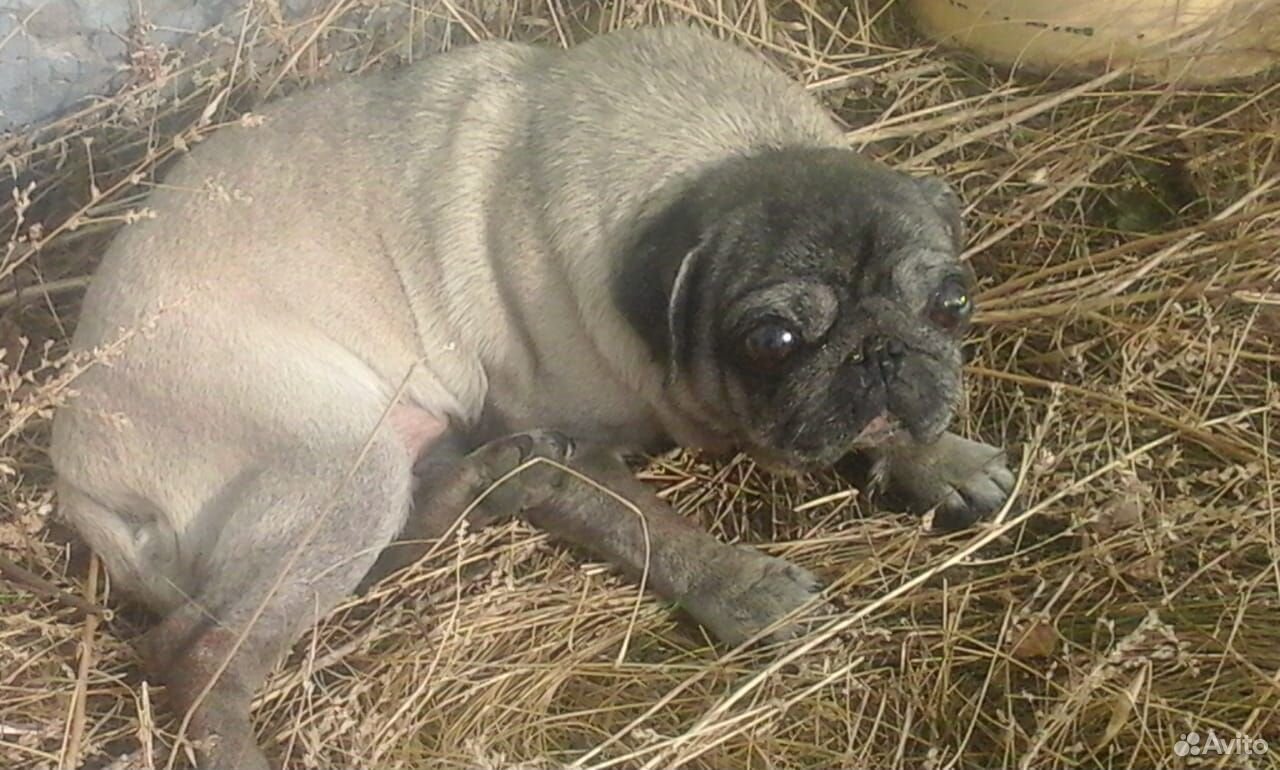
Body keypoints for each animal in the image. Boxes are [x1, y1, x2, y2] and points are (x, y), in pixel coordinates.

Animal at [50, 25, 1014, 769]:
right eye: (771, 343)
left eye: (953, 304)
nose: (879, 356)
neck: (720, 153)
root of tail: (78, 478)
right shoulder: (581, 443)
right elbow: (647, 526)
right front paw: (737, 583)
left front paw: (939, 457)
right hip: (341, 466)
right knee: (196, 655)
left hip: (382, 458)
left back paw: (496, 480)